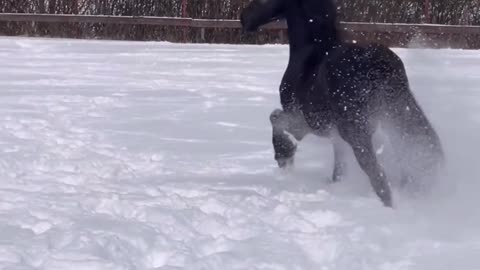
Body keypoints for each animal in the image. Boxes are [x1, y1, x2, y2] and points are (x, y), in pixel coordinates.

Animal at [242, 0, 444, 207]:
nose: (244, 19)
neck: (310, 51)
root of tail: (377, 64)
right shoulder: (334, 135)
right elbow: (339, 166)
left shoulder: (304, 123)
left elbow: (274, 118)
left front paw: (284, 156)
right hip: (397, 118)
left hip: (357, 131)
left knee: (377, 173)